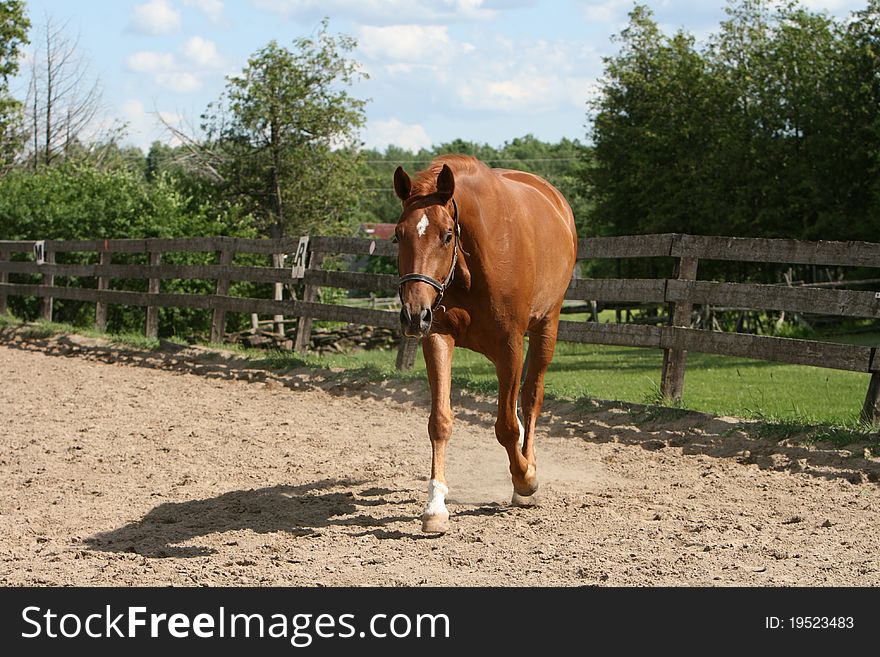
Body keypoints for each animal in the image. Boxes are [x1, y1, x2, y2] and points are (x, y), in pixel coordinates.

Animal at [392, 155, 576, 532]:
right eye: (398, 235)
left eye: (447, 234)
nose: (413, 315)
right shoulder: (437, 337)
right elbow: (440, 421)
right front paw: (435, 507)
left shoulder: (510, 346)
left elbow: (506, 426)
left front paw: (525, 480)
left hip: (546, 328)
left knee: (531, 399)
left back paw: (527, 474)